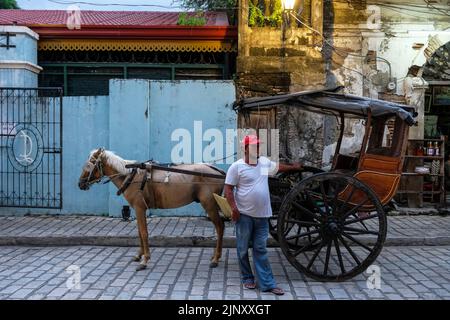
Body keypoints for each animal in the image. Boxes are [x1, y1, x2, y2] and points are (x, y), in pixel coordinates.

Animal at [78, 148, 225, 270]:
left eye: (91, 163)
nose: (80, 183)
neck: (130, 176)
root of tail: (219, 172)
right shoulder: (137, 209)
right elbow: (139, 232)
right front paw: (139, 255)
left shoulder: (139, 207)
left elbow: (144, 233)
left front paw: (145, 260)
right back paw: (215, 256)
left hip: (209, 204)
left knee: (220, 227)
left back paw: (216, 259)